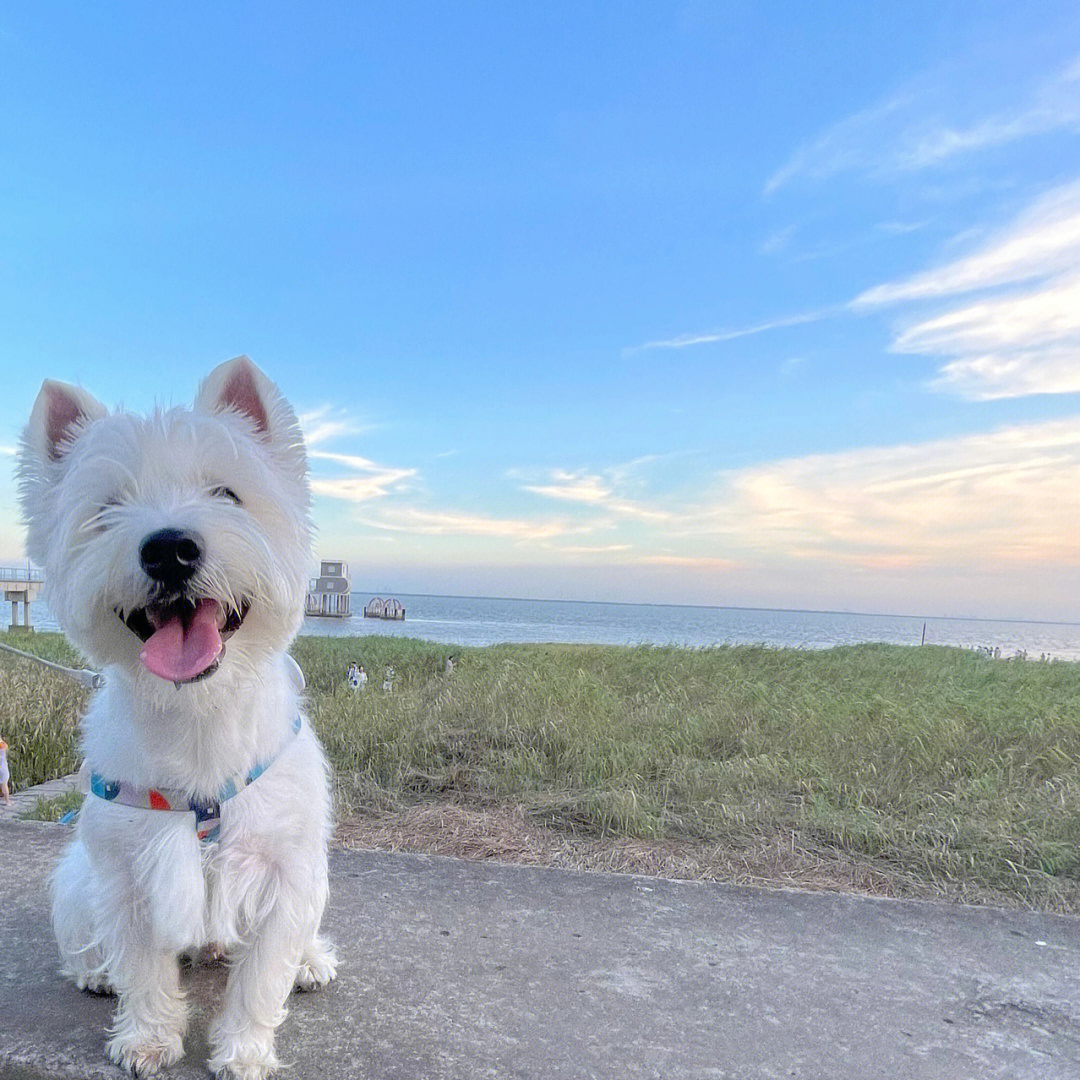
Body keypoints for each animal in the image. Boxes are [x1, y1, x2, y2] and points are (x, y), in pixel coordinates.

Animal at [17, 358, 336, 1075]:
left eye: (227, 493)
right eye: (107, 509)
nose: (169, 549)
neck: (198, 715)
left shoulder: (283, 872)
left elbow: (262, 975)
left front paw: (244, 1052)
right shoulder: (131, 876)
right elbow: (143, 967)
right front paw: (147, 1039)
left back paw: (312, 961)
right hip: (80, 879)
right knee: (84, 935)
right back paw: (94, 971)